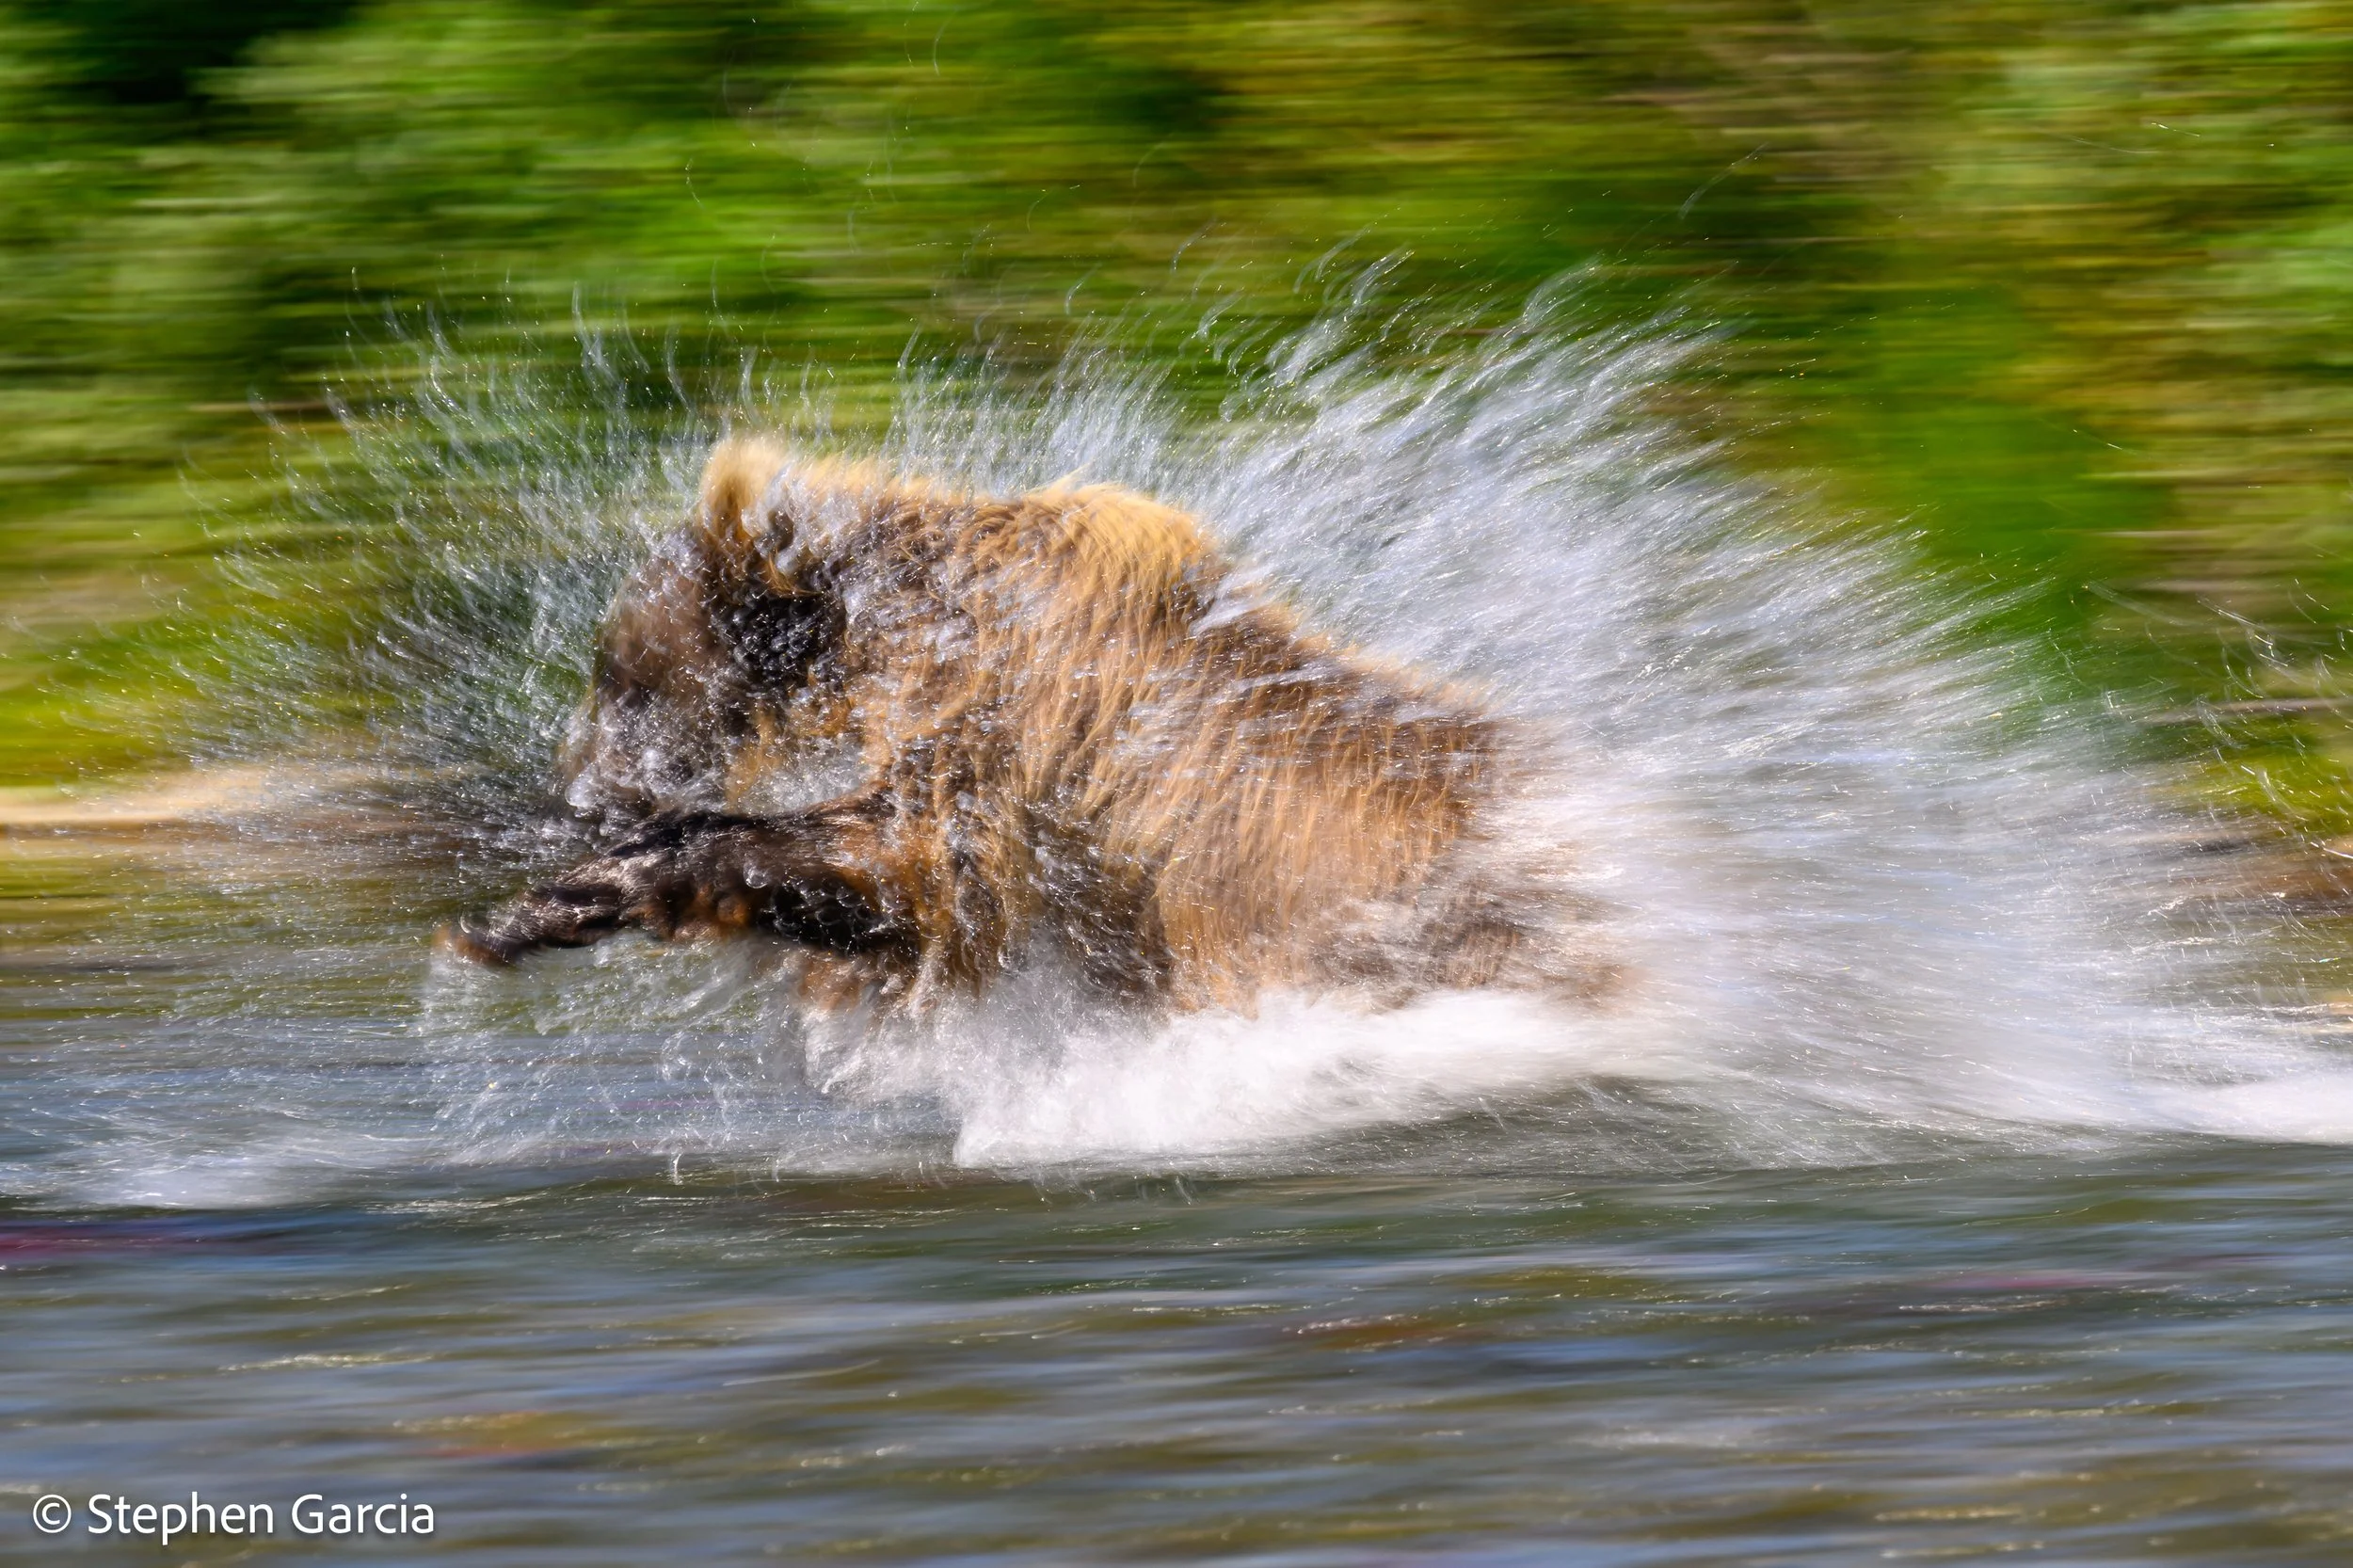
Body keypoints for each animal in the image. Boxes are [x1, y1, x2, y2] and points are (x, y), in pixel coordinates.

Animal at [440, 437, 1608, 1015]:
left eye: (616, 673)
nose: (579, 788)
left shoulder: (1019, 717)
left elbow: (918, 869)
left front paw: (562, 895)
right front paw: (526, 912)